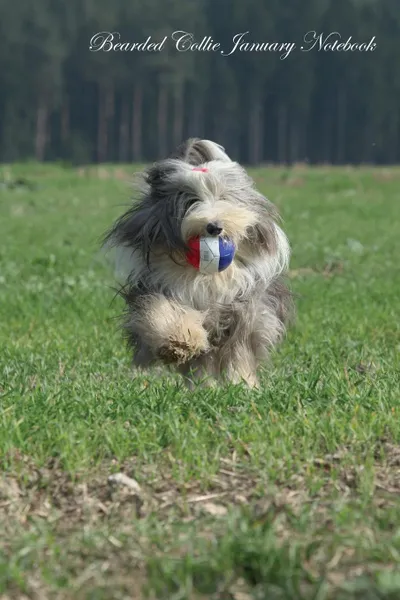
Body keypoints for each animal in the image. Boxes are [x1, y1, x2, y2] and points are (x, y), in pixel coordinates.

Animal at [103, 138, 290, 386]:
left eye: (224, 198)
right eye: (191, 200)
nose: (214, 226)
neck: (204, 276)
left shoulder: (244, 307)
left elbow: (239, 350)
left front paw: (242, 384)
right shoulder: (159, 287)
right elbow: (163, 312)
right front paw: (180, 342)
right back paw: (203, 386)